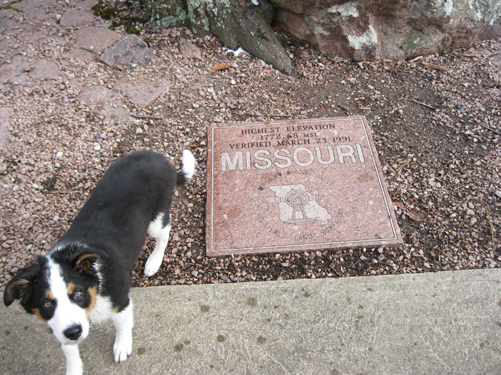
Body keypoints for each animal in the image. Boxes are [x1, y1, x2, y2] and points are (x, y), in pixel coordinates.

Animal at [3, 151, 195, 375]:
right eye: (47, 304)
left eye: (78, 294)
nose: (74, 332)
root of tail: (159, 157)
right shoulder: (60, 327)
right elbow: (68, 349)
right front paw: (74, 367)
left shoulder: (120, 300)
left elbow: (122, 324)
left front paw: (122, 346)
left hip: (157, 216)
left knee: (164, 233)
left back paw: (153, 261)